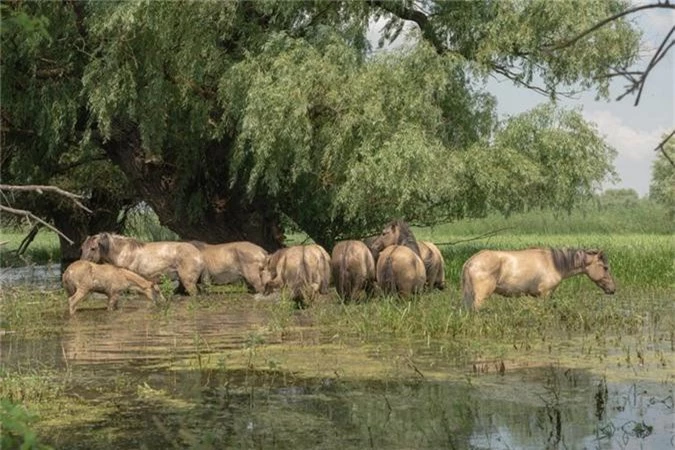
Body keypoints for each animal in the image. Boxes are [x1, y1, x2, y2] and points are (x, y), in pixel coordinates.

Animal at [462, 248, 616, 312]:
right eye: (605, 267)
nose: (613, 289)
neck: (554, 263)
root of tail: (471, 261)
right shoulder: (545, 295)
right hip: (480, 297)